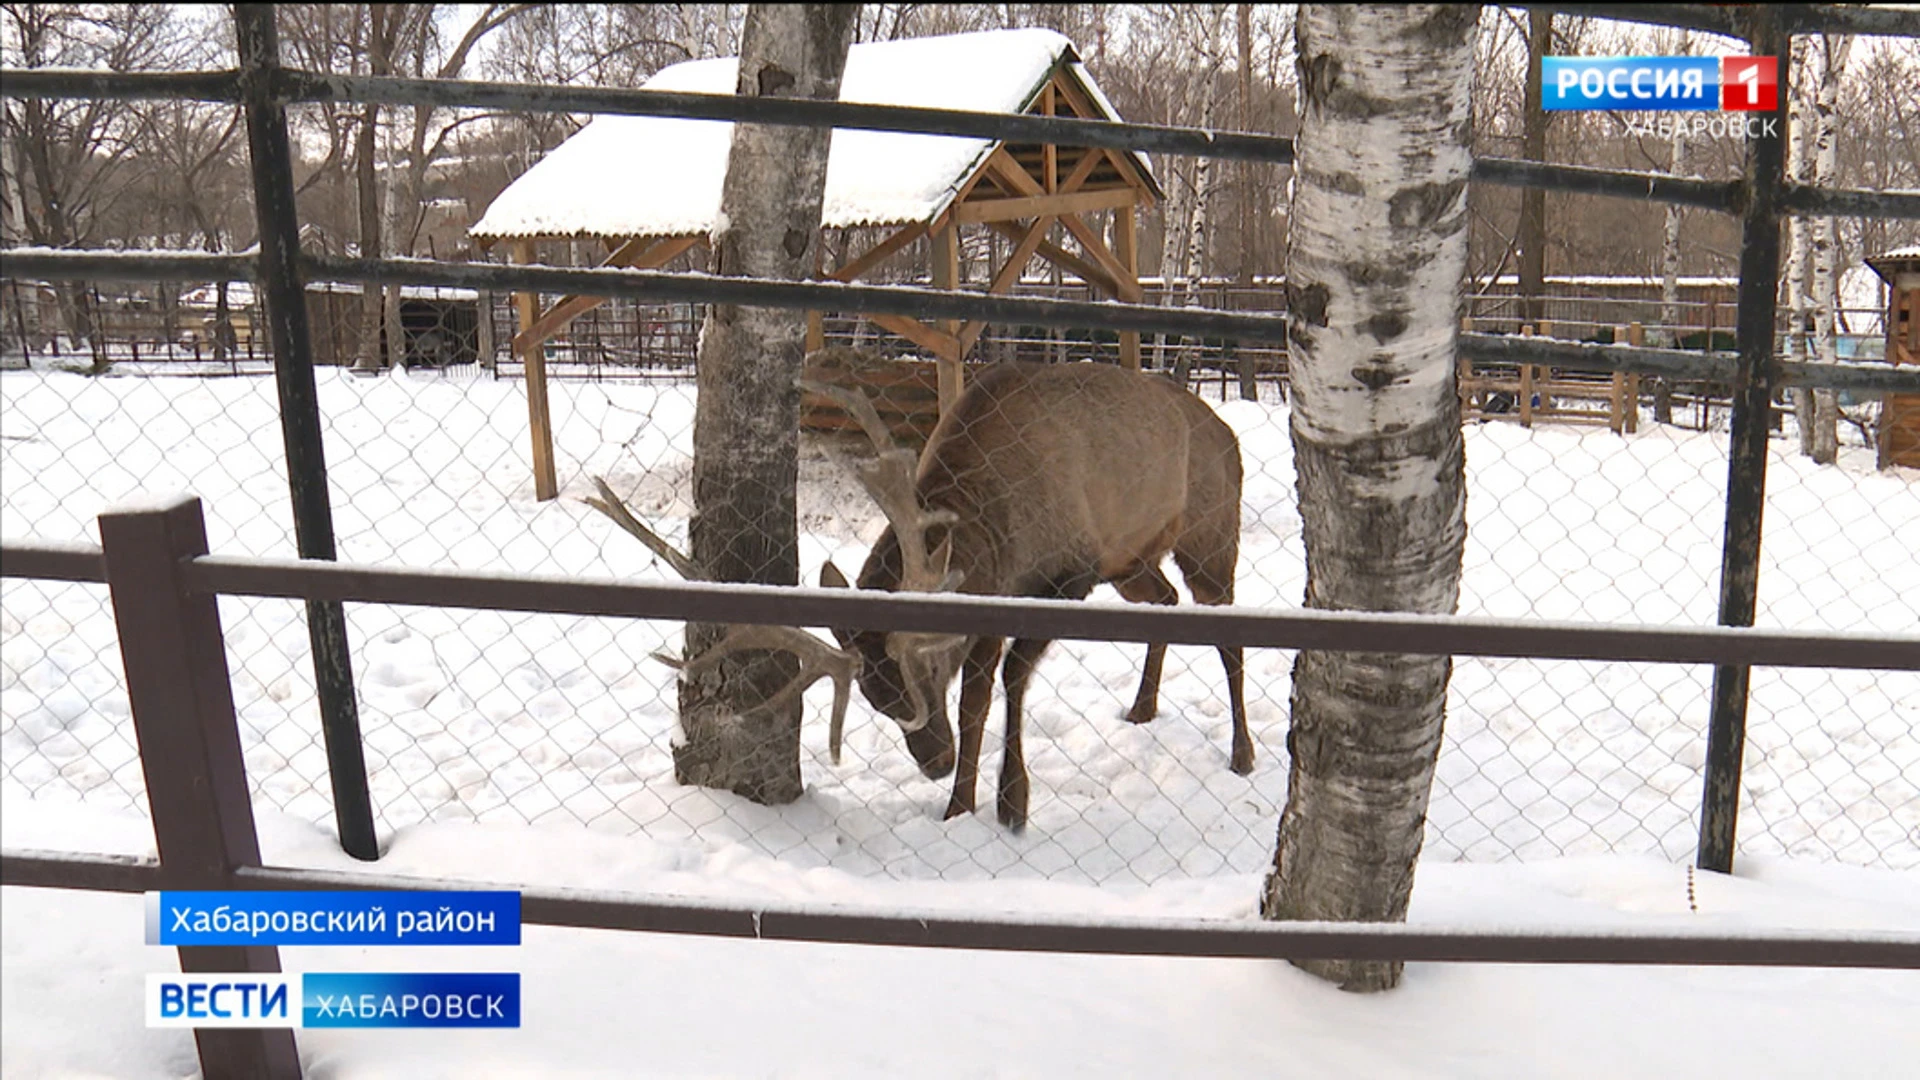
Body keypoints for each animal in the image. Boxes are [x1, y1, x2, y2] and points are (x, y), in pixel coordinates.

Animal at [806, 357, 1244, 826]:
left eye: (932, 668)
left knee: (1228, 636)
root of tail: (1228, 436)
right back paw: (1142, 707)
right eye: (873, 695)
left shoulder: (1074, 569)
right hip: (1131, 564)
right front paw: (959, 806)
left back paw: (1243, 754)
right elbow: (973, 706)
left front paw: (1013, 801)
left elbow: (1013, 673)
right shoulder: (992, 603)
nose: (936, 762)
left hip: (1209, 540)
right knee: (1167, 599)